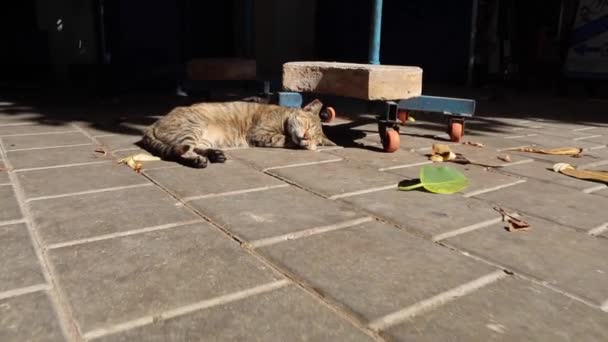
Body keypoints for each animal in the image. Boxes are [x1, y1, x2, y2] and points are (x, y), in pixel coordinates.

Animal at [141, 99, 334, 168]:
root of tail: (152, 124)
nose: (306, 138)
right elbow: (286, 139)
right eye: (307, 125)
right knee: (180, 150)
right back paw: (197, 160)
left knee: (189, 148)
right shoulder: (260, 133)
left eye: (314, 140)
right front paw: (295, 142)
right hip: (192, 128)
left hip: (200, 138)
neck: (283, 116)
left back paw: (215, 155)